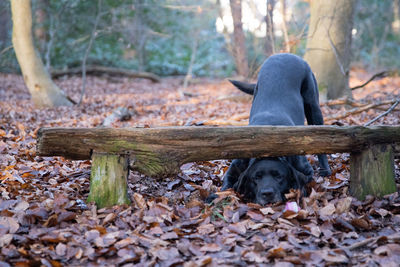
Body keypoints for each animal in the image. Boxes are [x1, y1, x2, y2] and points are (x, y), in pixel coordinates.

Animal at [222, 54, 332, 205]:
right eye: (256, 177)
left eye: (279, 176)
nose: (267, 193)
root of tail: (287, 54)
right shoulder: (235, 167)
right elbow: (225, 186)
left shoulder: (305, 169)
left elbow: (301, 180)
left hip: (313, 106)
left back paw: (325, 169)